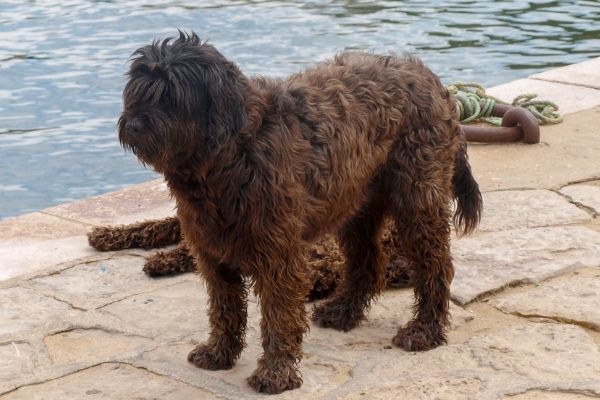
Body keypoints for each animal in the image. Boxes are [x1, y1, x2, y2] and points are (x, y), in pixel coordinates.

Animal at [111, 31, 482, 394]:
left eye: (171, 95)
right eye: (139, 91)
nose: (133, 124)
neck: (231, 154)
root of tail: (432, 79)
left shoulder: (278, 253)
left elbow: (280, 315)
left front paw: (275, 372)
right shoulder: (213, 252)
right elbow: (224, 308)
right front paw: (219, 353)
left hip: (417, 200)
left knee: (436, 266)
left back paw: (425, 330)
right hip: (357, 205)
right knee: (368, 263)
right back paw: (343, 311)